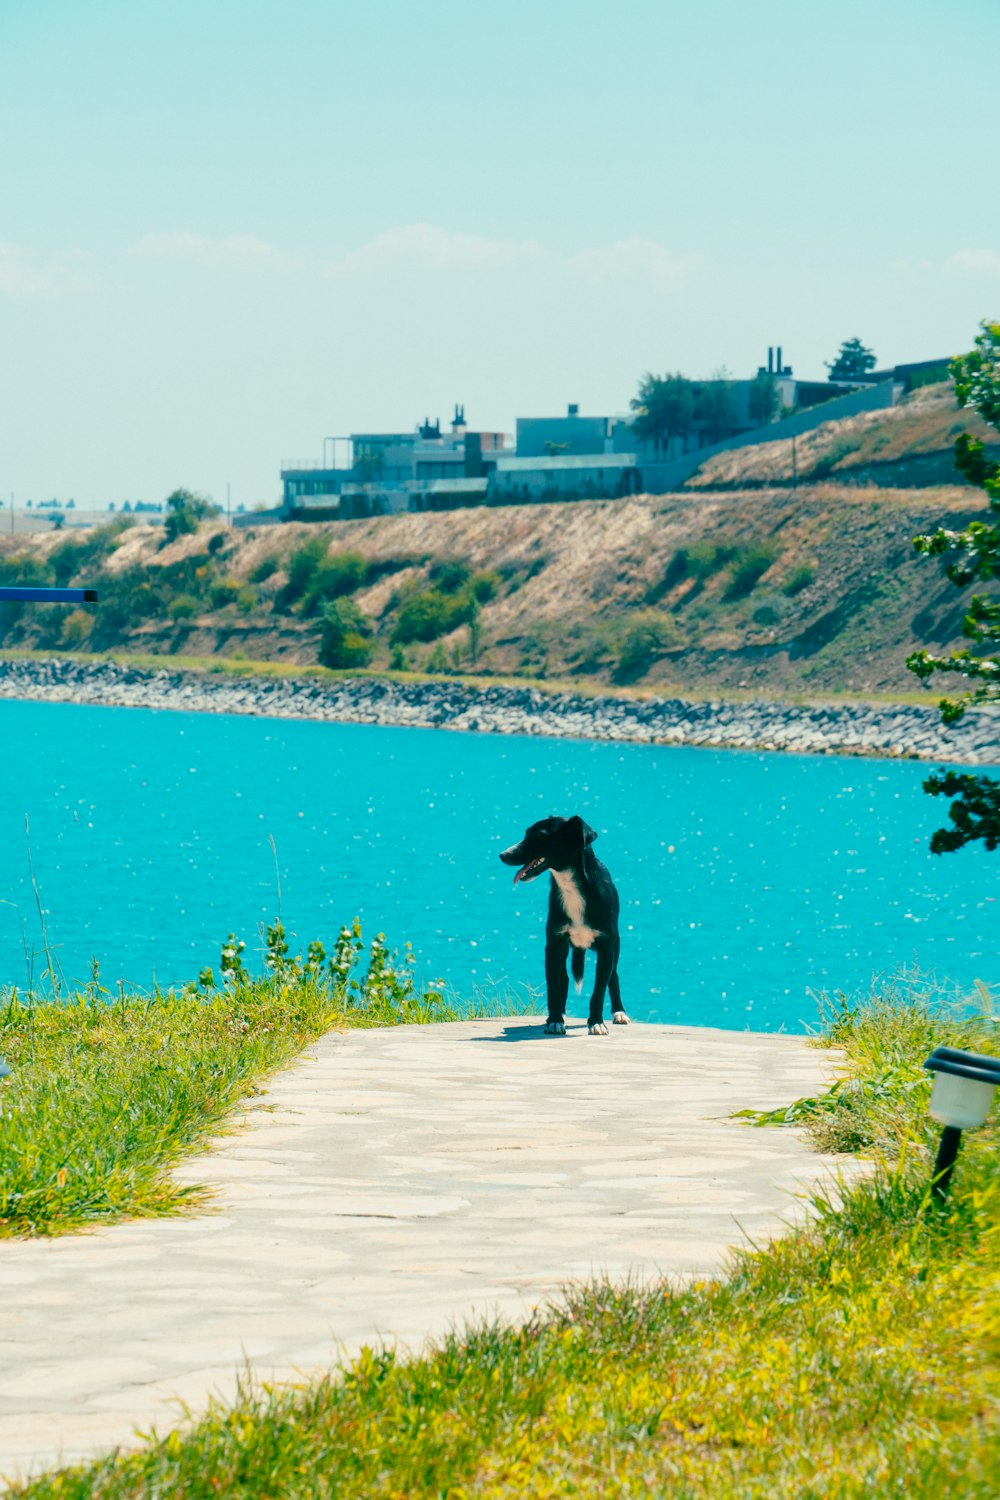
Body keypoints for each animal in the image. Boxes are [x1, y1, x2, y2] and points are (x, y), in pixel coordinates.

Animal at [497, 816, 629, 1038]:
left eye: (540, 836)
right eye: (526, 833)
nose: (503, 855)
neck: (570, 885)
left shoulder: (606, 947)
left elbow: (599, 989)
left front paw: (596, 1022)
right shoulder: (553, 944)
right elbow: (554, 988)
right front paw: (555, 1021)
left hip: (616, 944)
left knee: (614, 976)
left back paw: (619, 1012)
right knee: (564, 979)